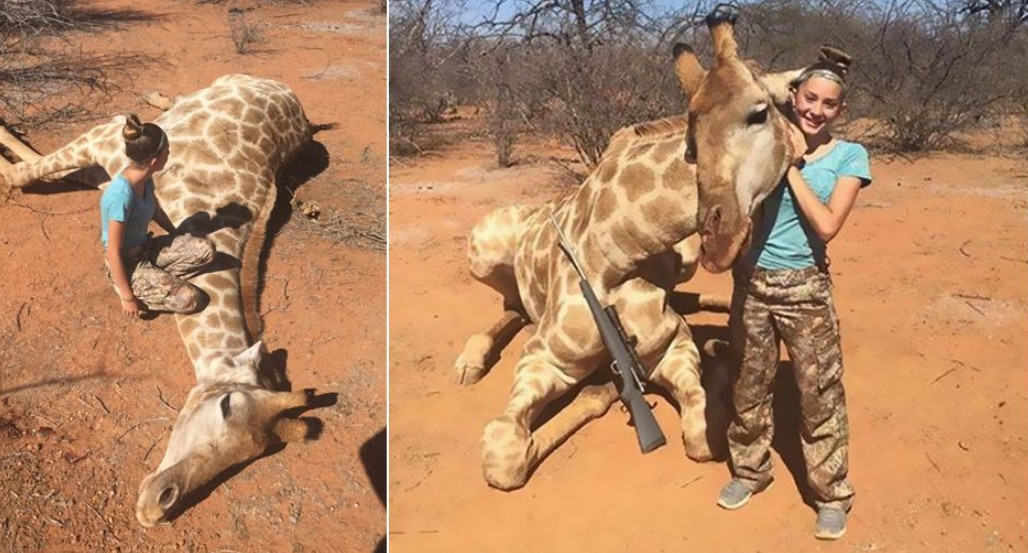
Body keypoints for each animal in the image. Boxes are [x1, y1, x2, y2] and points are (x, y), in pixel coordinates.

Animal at [0, 74, 320, 524]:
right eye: (225, 405)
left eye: (250, 456)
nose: (158, 505)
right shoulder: (103, 143)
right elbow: (20, 173)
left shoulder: (102, 163)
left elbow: (29, 169)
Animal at [456, 5, 801, 487]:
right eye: (692, 140)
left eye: (759, 112)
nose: (718, 236)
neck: (616, 251)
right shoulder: (543, 357)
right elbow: (504, 453)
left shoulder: (671, 345)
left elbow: (701, 436)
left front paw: (716, 355)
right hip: (482, 250)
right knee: (510, 308)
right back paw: (470, 362)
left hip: (685, 261)